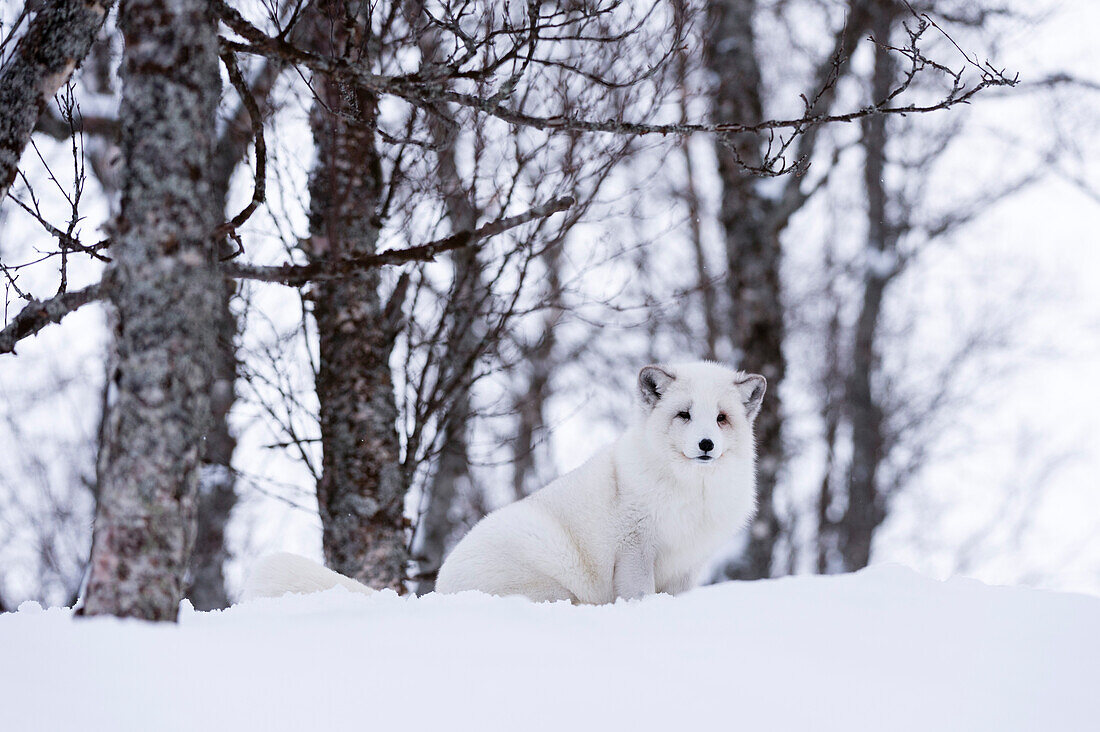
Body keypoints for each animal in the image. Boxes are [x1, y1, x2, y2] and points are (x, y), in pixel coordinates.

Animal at [245, 358, 765, 603]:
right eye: (684, 415)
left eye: (721, 418)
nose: (706, 445)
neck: (692, 494)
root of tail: (437, 593)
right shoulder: (635, 548)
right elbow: (636, 596)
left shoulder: (688, 564)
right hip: (553, 581)